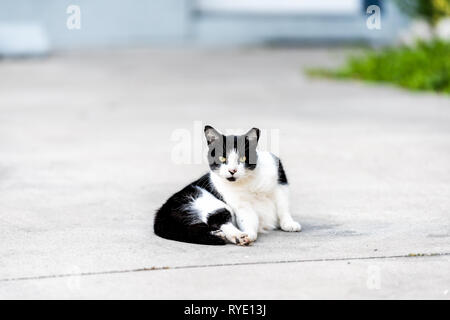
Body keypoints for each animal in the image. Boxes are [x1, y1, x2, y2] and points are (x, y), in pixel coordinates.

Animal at [155, 125, 302, 245]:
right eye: (222, 158)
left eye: (243, 158)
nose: (232, 170)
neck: (249, 181)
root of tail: (162, 210)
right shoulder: (241, 205)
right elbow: (248, 219)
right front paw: (249, 234)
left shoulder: (280, 184)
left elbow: (283, 207)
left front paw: (289, 224)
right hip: (205, 200)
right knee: (218, 219)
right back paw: (237, 236)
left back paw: (219, 235)